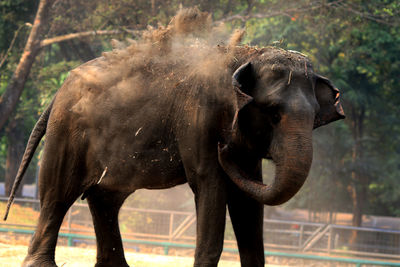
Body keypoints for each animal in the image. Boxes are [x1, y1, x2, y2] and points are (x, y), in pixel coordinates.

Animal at [3, 8, 344, 267]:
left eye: (315, 116)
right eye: (273, 113)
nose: (224, 146)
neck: (242, 58)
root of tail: (58, 93)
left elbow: (248, 197)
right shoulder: (198, 119)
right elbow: (210, 184)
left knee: (105, 197)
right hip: (67, 131)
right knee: (58, 194)